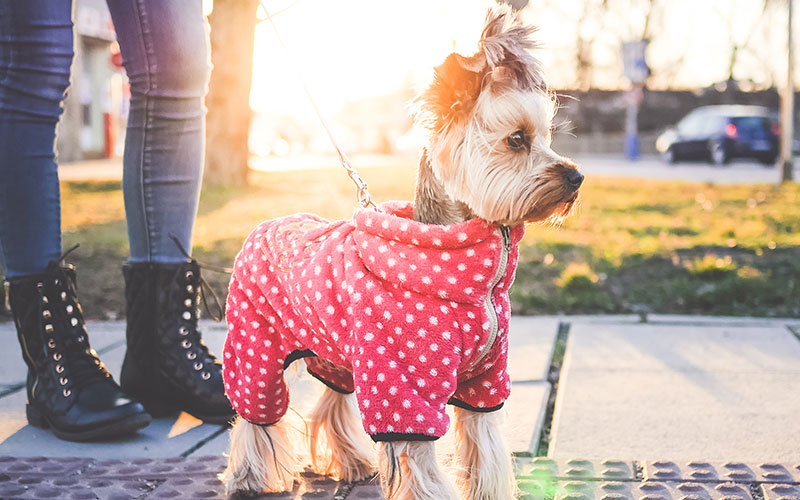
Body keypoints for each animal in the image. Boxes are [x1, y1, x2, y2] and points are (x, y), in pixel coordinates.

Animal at [219, 4, 580, 500]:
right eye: (516, 139)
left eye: (546, 137)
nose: (577, 177)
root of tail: (267, 222)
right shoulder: (404, 388)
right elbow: (421, 463)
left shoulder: (483, 382)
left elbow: (484, 447)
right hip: (256, 343)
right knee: (256, 414)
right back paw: (249, 478)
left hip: (337, 353)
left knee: (330, 402)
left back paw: (351, 464)